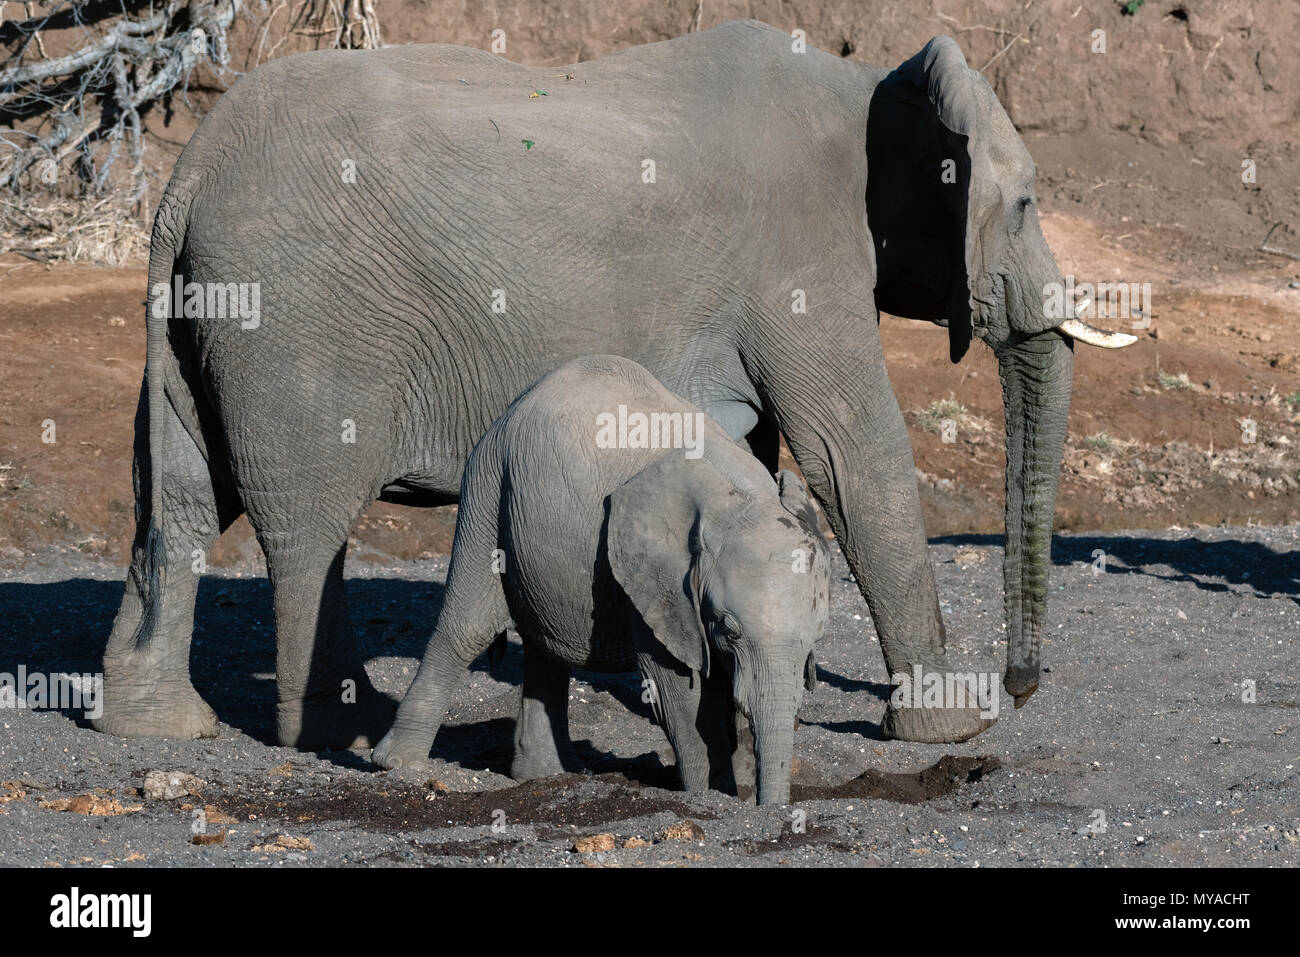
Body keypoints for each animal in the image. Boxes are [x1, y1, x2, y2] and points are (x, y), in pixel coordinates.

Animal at [98, 16, 1128, 748]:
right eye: (1026, 203)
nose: (1021, 687)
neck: (869, 83)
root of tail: (182, 180)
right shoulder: (802, 261)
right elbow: (854, 452)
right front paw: (947, 726)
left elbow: (756, 459)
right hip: (299, 319)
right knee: (306, 525)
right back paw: (331, 731)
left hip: (205, 316)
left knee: (180, 501)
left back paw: (158, 724)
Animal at [371, 356, 826, 806]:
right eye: (728, 630)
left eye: (813, 640)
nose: (769, 809)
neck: (739, 496)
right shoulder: (651, 582)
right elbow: (679, 692)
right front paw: (709, 796)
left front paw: (736, 789)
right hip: (489, 488)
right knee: (466, 628)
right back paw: (399, 767)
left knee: (544, 643)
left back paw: (545, 775)